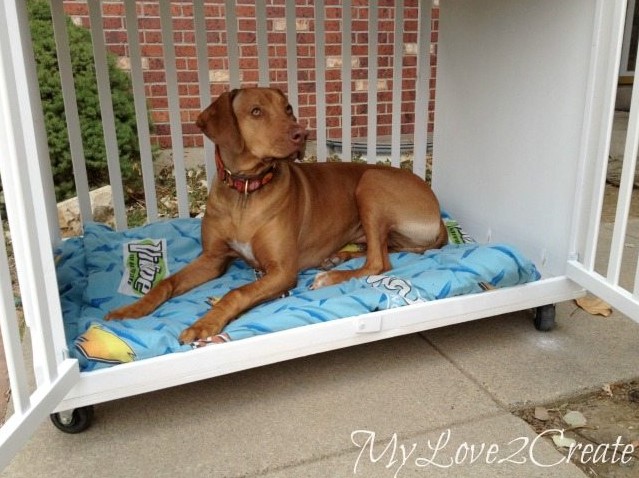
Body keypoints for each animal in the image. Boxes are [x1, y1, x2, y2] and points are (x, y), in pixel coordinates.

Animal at [106, 88, 444, 342]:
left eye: (289, 108)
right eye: (256, 111)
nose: (302, 133)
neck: (245, 192)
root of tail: (439, 216)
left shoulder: (281, 271)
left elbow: (236, 293)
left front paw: (204, 323)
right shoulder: (212, 259)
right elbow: (167, 283)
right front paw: (130, 310)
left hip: (370, 183)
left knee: (378, 262)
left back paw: (331, 275)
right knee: (380, 250)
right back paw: (337, 258)